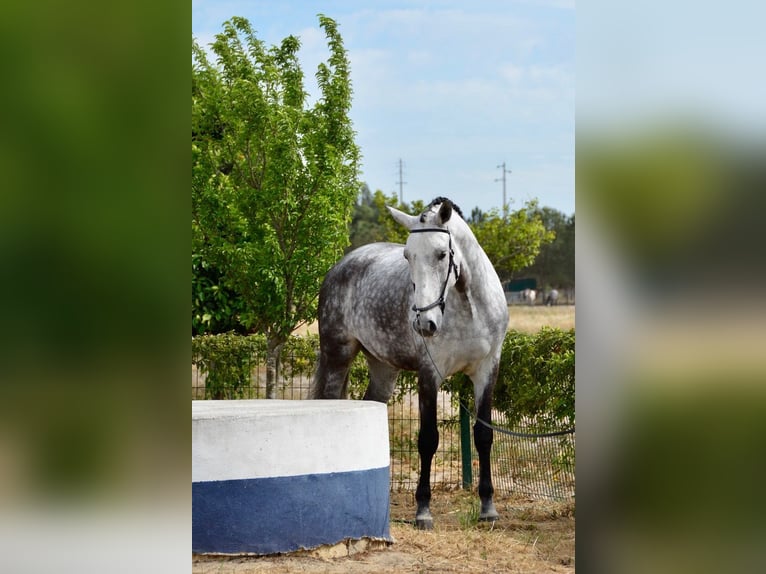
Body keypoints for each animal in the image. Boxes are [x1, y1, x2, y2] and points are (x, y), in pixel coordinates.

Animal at [312, 198, 510, 532]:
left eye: (442, 254)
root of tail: (342, 265)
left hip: (382, 369)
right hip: (337, 355)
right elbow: (428, 440)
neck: (469, 306)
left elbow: (484, 436)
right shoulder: (430, 374)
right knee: (327, 405)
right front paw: (423, 510)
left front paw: (488, 508)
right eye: (407, 255)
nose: (424, 323)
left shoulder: (487, 370)